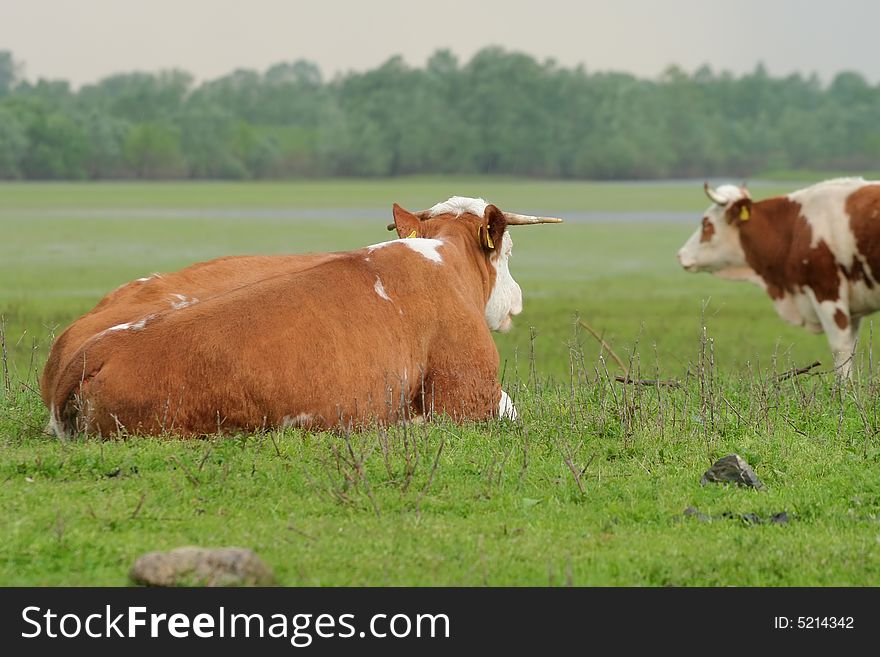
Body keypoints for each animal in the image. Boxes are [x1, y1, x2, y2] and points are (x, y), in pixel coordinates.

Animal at [676, 177, 880, 376]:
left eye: (706, 223)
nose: (680, 254)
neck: (795, 227)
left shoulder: (827, 292)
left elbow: (841, 350)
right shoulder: (852, 309)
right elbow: (851, 349)